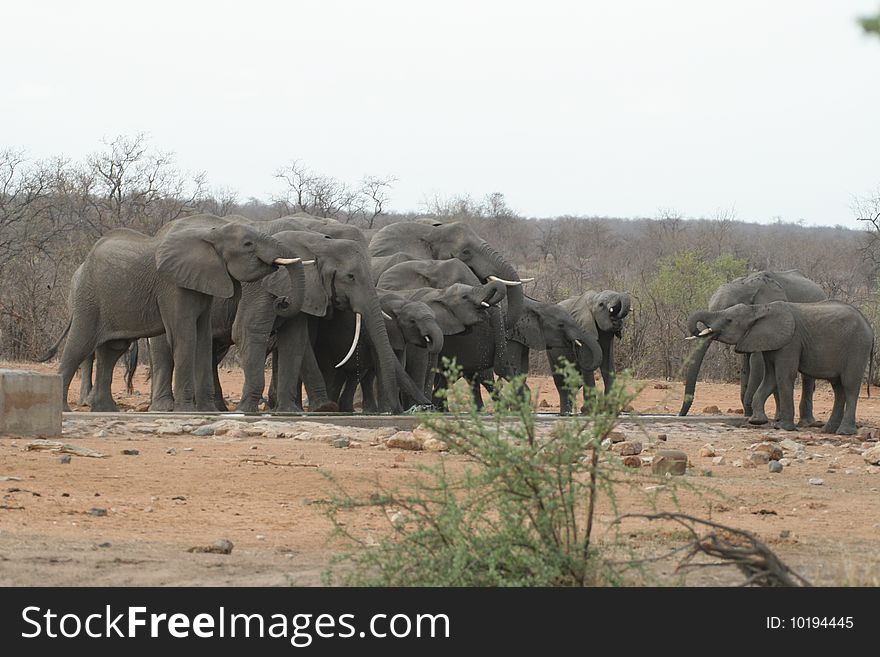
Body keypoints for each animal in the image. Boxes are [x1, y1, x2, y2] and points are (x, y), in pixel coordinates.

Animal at [48, 214, 302, 410]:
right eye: (248, 244)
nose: (283, 300)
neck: (211, 235)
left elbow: (203, 339)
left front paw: (207, 411)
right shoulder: (173, 286)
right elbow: (185, 336)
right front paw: (186, 410)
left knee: (112, 350)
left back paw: (105, 410)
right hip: (89, 299)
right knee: (80, 345)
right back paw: (65, 409)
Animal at [680, 268, 824, 418]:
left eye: (729, 318)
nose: (680, 415)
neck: (746, 285)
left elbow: (757, 362)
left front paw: (750, 415)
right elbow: (745, 365)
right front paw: (748, 415)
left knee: (808, 376)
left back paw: (808, 420)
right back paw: (779, 417)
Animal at [688, 302, 872, 436]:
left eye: (729, 320)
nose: (698, 329)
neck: (758, 309)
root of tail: (869, 326)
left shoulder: (791, 342)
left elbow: (784, 376)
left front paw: (783, 427)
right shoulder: (770, 342)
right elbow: (770, 377)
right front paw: (757, 421)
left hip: (857, 347)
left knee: (849, 386)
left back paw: (844, 432)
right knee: (838, 388)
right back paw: (829, 430)